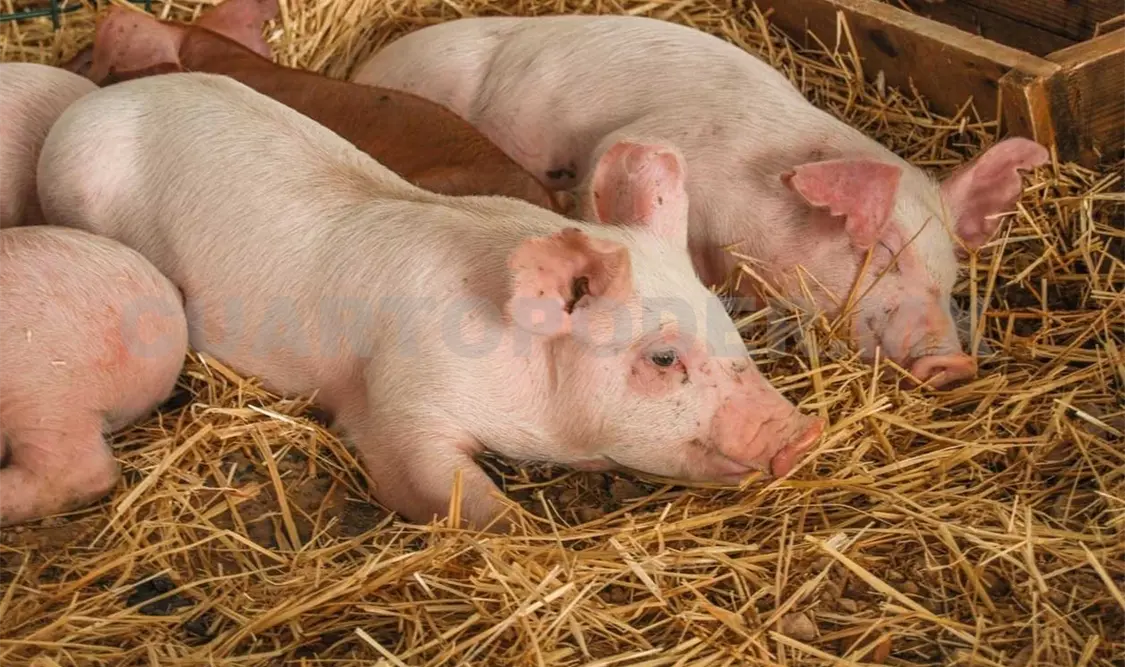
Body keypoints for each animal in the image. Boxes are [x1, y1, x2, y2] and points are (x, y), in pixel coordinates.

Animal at [37, 72, 825, 530]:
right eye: (662, 358)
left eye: (726, 326)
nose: (802, 432)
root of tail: (86, 103)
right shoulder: (396, 403)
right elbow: (447, 492)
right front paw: (517, 530)